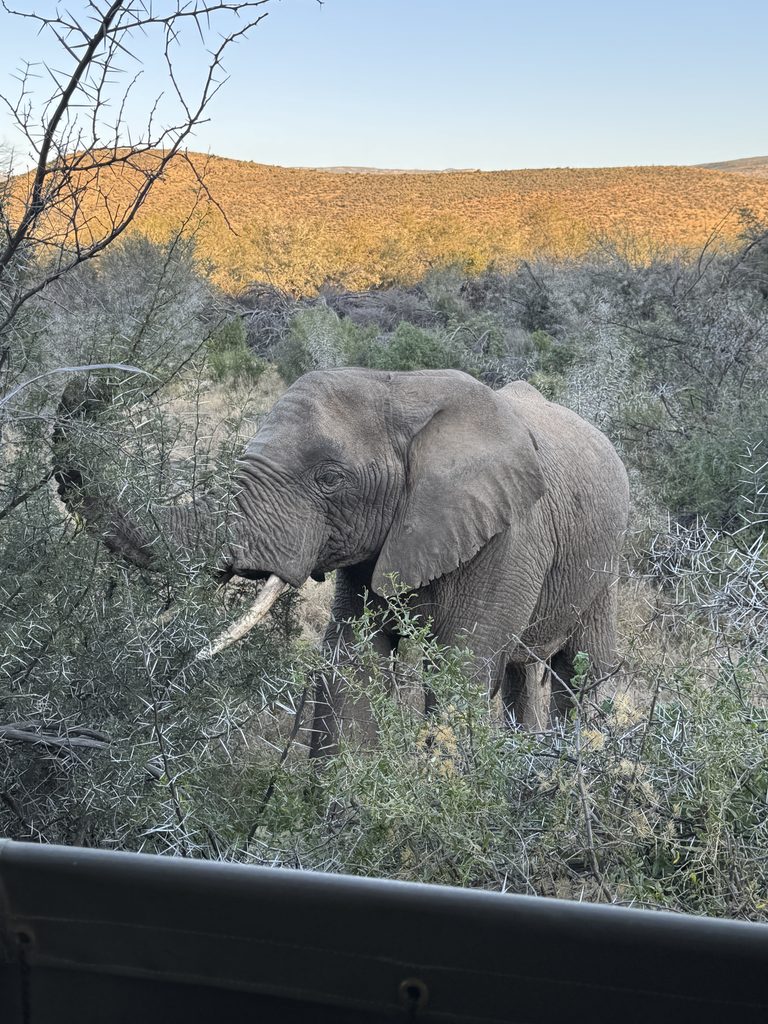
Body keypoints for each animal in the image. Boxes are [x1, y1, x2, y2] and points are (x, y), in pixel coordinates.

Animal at [55, 368, 629, 755]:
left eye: (329, 479)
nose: (92, 384)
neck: (402, 391)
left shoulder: (508, 538)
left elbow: (459, 673)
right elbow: (351, 668)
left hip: (608, 562)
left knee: (581, 671)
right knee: (522, 671)